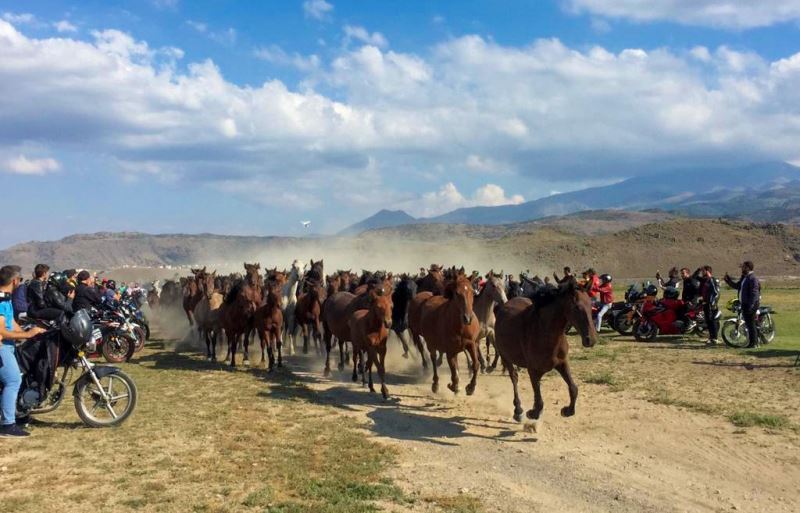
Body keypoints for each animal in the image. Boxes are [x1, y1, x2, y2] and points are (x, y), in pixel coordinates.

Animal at [494, 278, 600, 422]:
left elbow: (573, 388)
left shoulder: (562, 363)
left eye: (590, 305)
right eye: (577, 307)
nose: (591, 339)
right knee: (514, 378)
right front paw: (532, 413)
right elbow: (539, 402)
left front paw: (567, 410)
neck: (545, 332)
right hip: (505, 356)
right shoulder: (533, 371)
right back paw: (518, 410)